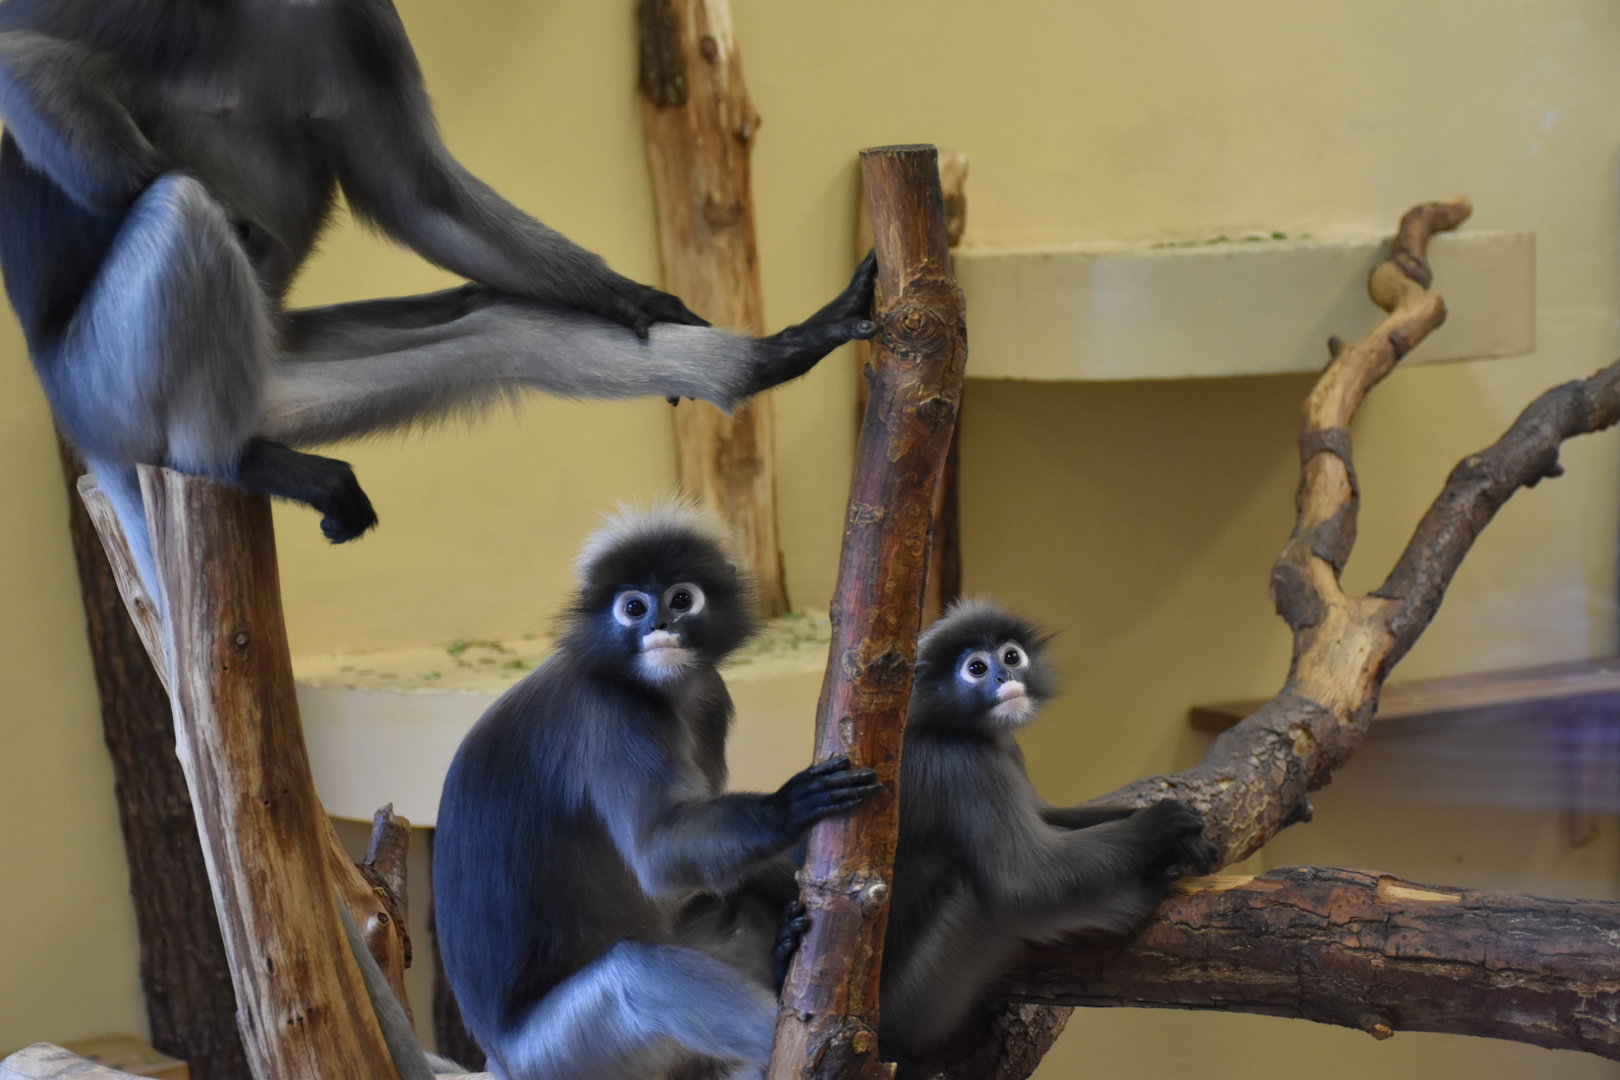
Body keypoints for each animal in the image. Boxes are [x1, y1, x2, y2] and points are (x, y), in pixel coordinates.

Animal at [0, 0, 878, 593]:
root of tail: (78, 422)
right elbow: (23, 56)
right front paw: (242, 228)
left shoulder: (362, 16)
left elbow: (423, 199)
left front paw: (635, 298)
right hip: (109, 378)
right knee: (183, 206)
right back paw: (228, 461)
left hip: (269, 381)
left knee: (501, 326)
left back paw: (765, 359)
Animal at [432, 503, 882, 1080]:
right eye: (633, 607)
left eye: (681, 599)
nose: (659, 626)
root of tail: (498, 1061)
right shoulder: (615, 711)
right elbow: (656, 855)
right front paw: (788, 807)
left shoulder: (711, 696)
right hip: (563, 1052)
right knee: (638, 973)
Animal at [878, 600, 1219, 1069]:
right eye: (976, 668)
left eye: (1010, 657)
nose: (1003, 678)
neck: (952, 726)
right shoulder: (962, 760)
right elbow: (1021, 880)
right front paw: (1162, 823)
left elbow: (1047, 817)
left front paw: (1184, 833)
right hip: (919, 1004)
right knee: (988, 900)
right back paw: (1135, 897)